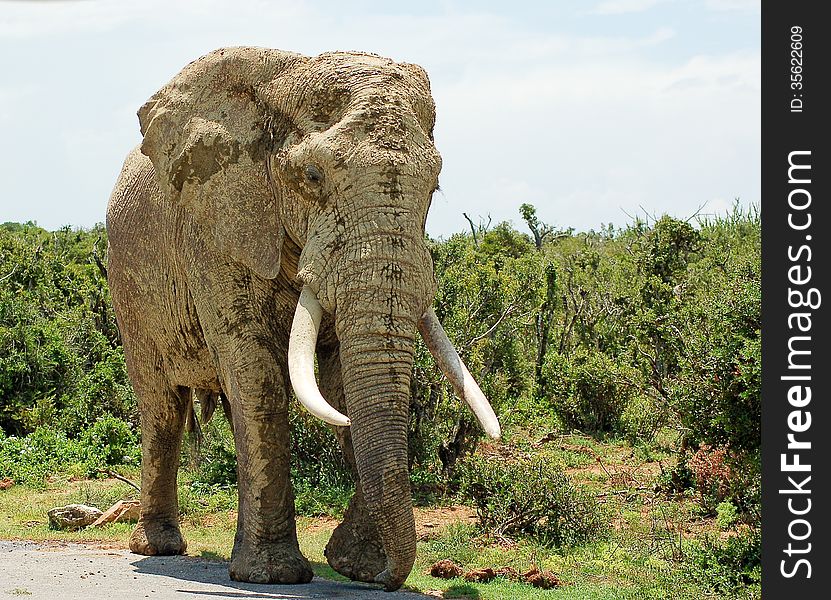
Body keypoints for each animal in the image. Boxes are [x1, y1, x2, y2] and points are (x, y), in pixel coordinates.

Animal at [109, 47, 500, 592]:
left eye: (435, 184)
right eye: (313, 176)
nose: (388, 579)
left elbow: (342, 387)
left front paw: (355, 566)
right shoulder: (215, 230)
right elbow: (255, 373)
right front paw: (272, 576)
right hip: (128, 283)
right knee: (161, 405)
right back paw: (159, 548)